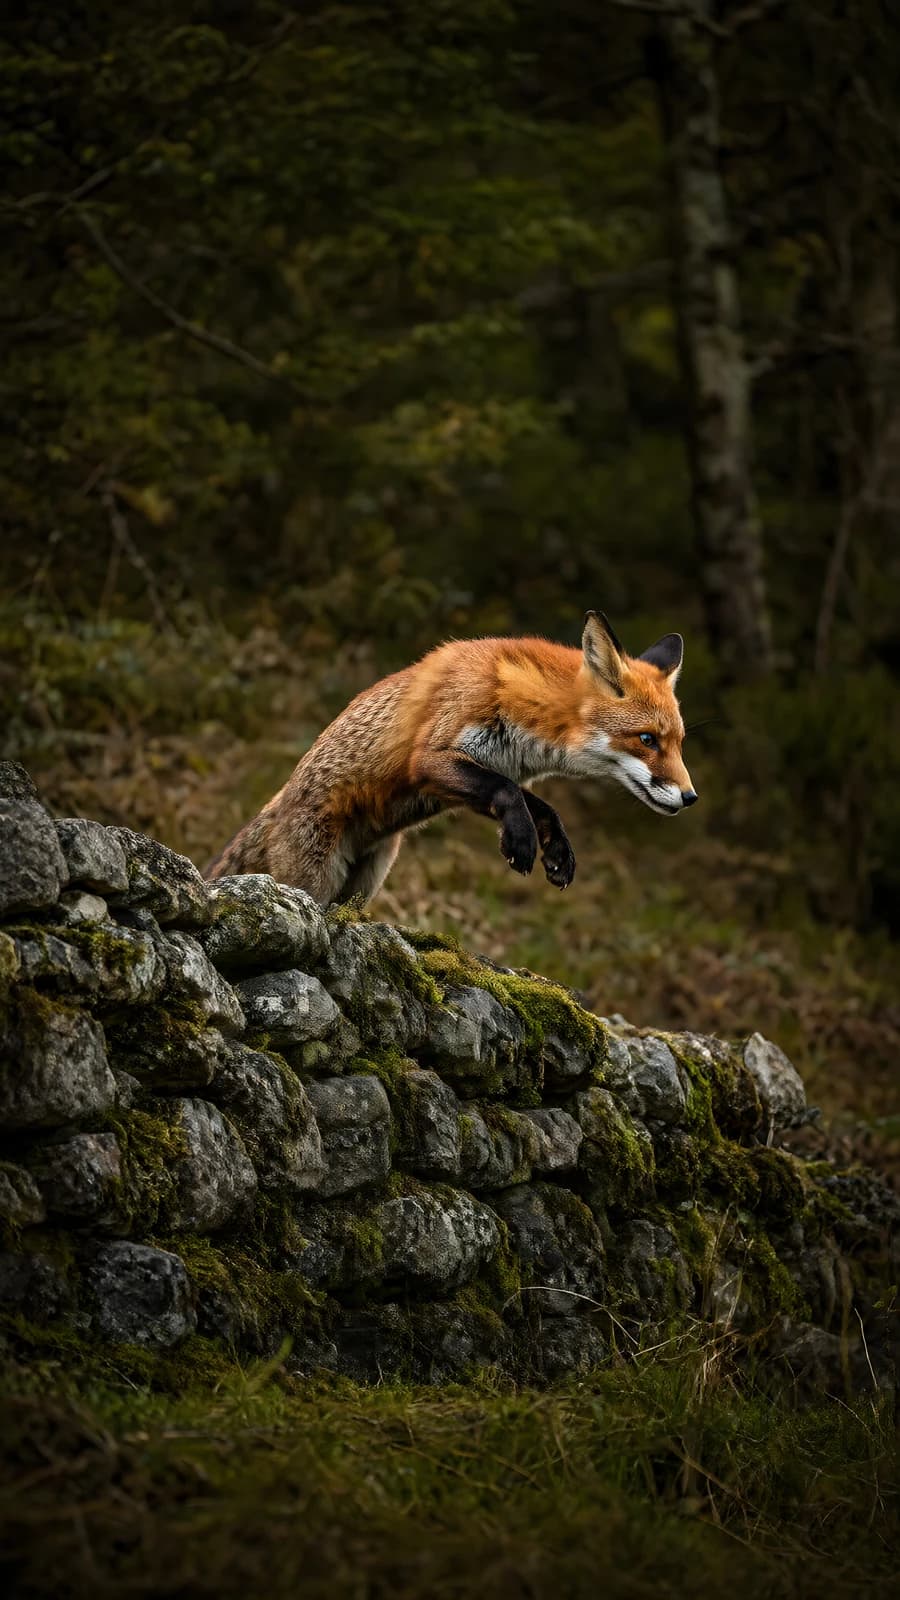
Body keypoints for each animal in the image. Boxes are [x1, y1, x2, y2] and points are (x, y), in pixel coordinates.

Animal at [205, 611, 698, 907]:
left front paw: (555, 847)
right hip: (314, 880)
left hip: (364, 881)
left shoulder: (491, 770)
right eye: (647, 740)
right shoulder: (431, 757)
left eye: (678, 742)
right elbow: (506, 793)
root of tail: (278, 802)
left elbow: (536, 804)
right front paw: (522, 842)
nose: (690, 796)